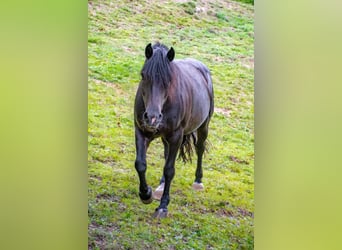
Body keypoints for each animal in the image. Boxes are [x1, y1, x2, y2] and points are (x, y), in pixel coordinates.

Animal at [134, 42, 214, 218]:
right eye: (143, 75)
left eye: (168, 80)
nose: (152, 117)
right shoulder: (141, 132)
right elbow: (140, 164)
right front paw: (146, 194)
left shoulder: (177, 136)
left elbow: (170, 169)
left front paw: (163, 206)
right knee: (166, 153)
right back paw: (161, 186)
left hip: (203, 126)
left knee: (199, 148)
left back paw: (198, 181)